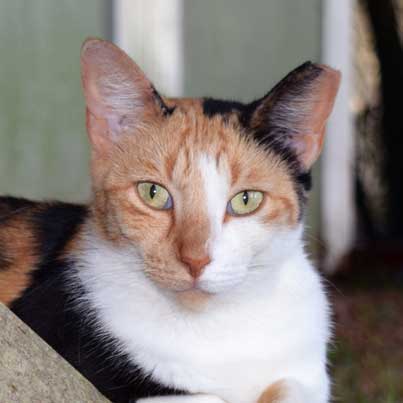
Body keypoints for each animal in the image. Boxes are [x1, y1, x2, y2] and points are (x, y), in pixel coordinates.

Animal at [0, 38, 340, 403]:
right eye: (153, 193)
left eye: (246, 200)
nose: (196, 260)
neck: (217, 325)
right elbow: (210, 397)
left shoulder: (306, 372)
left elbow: (292, 386)